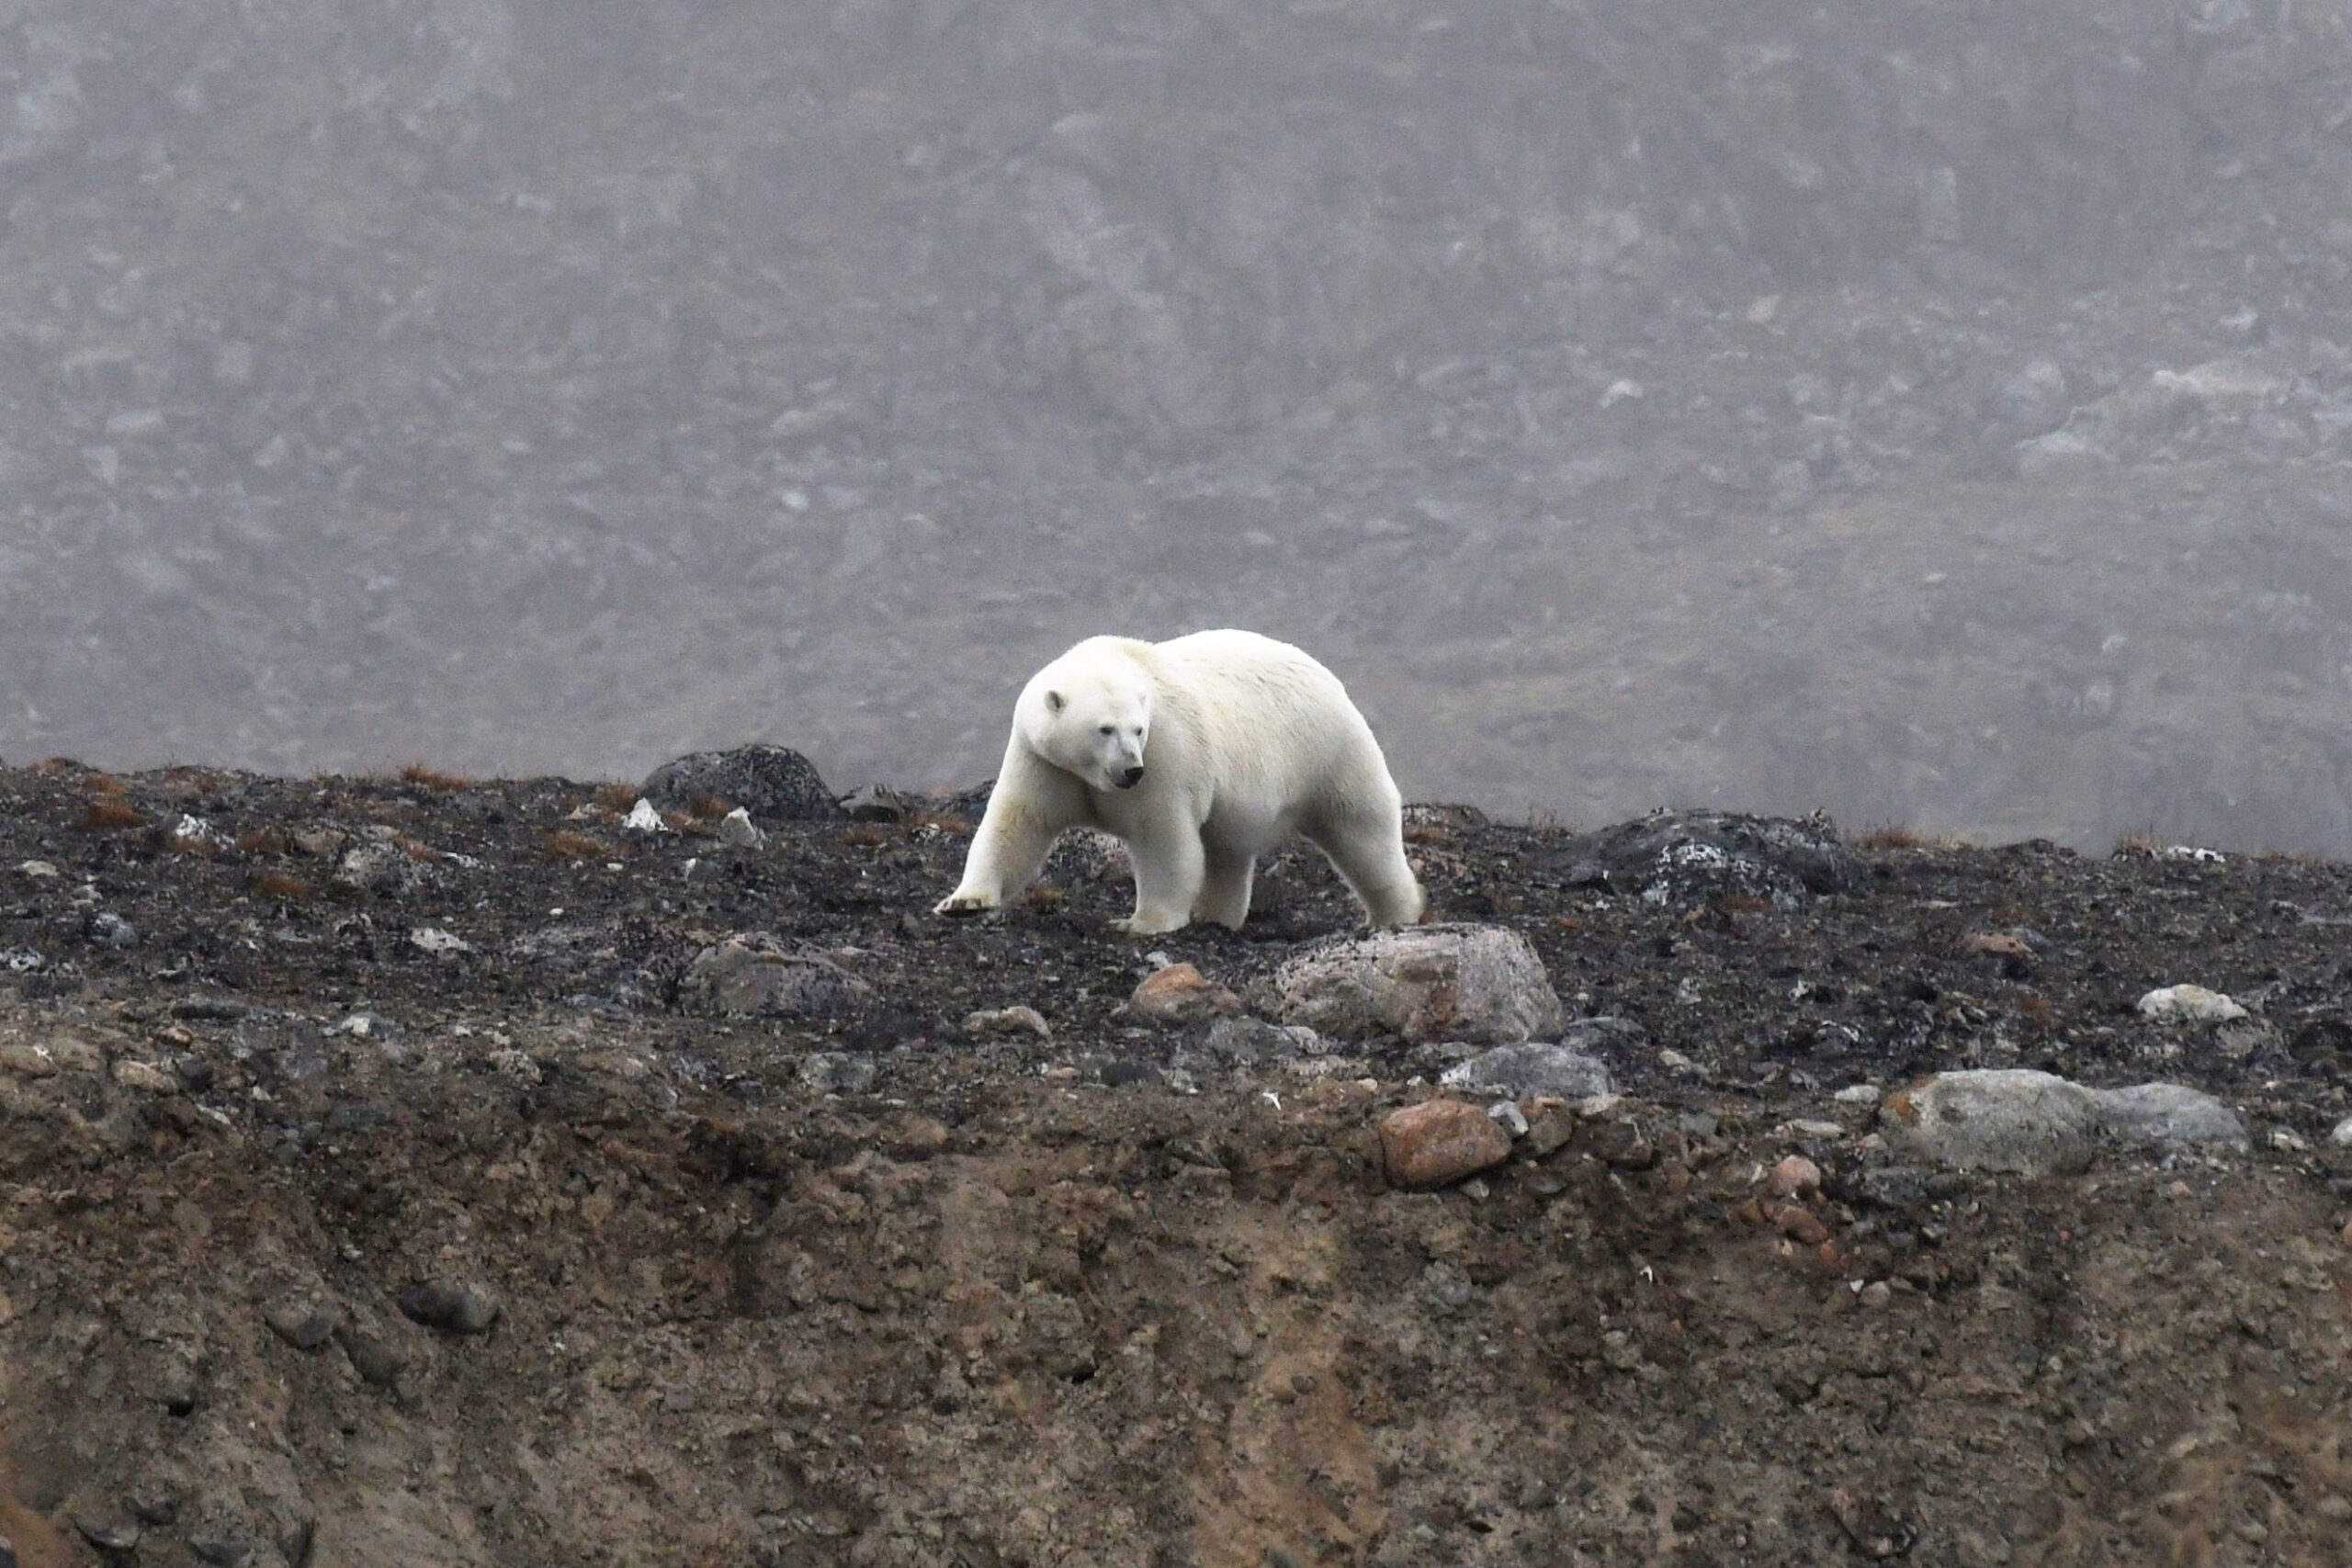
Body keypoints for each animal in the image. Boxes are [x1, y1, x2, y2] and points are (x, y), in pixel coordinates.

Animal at [935, 629, 1425, 935]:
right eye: (1104, 729)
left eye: (1138, 730)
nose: (1131, 770)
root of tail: (1328, 676)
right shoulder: (1043, 759)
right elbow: (1017, 823)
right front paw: (964, 900)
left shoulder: (1167, 754)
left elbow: (1161, 838)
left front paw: (1141, 923)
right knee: (1226, 850)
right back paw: (1217, 915)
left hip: (1327, 752)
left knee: (1362, 832)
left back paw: (1395, 913)